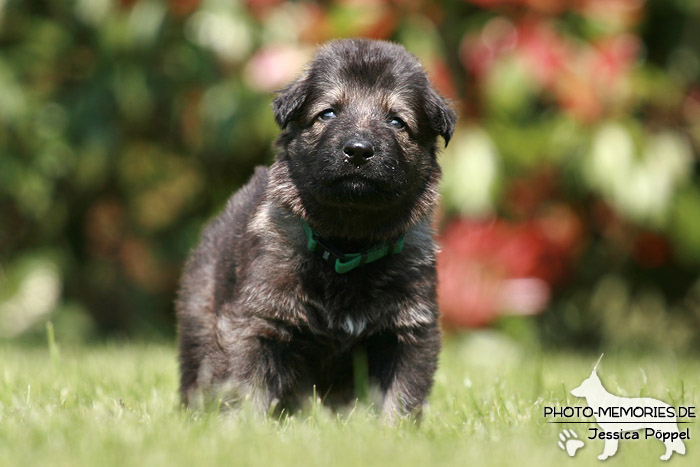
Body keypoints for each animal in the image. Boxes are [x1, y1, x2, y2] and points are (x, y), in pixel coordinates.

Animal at [178, 38, 456, 422]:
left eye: (396, 121)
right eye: (328, 114)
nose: (359, 151)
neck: (347, 244)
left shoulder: (409, 330)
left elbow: (400, 397)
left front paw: (391, 431)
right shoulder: (255, 320)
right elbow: (247, 386)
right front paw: (245, 428)